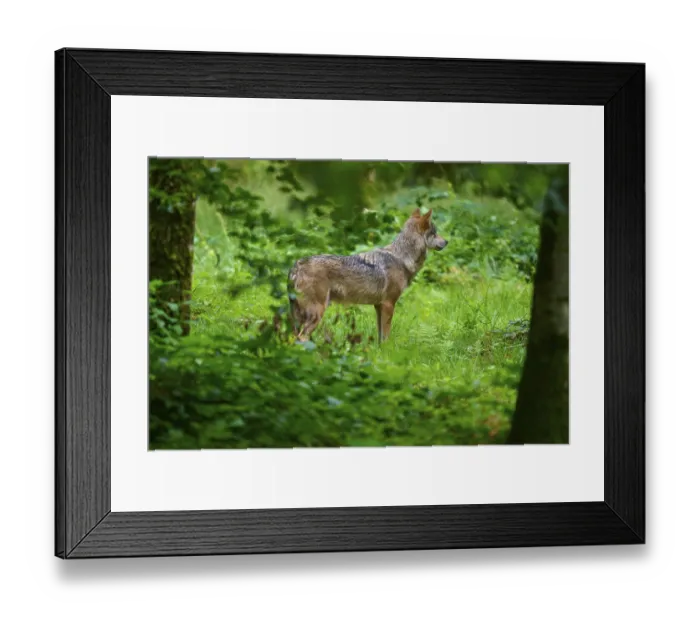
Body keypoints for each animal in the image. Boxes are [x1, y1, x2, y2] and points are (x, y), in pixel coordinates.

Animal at [288, 208, 448, 342]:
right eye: (435, 233)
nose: (447, 241)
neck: (402, 257)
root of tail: (297, 265)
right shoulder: (388, 304)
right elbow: (386, 336)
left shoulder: (378, 306)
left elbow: (380, 336)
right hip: (317, 312)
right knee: (302, 337)